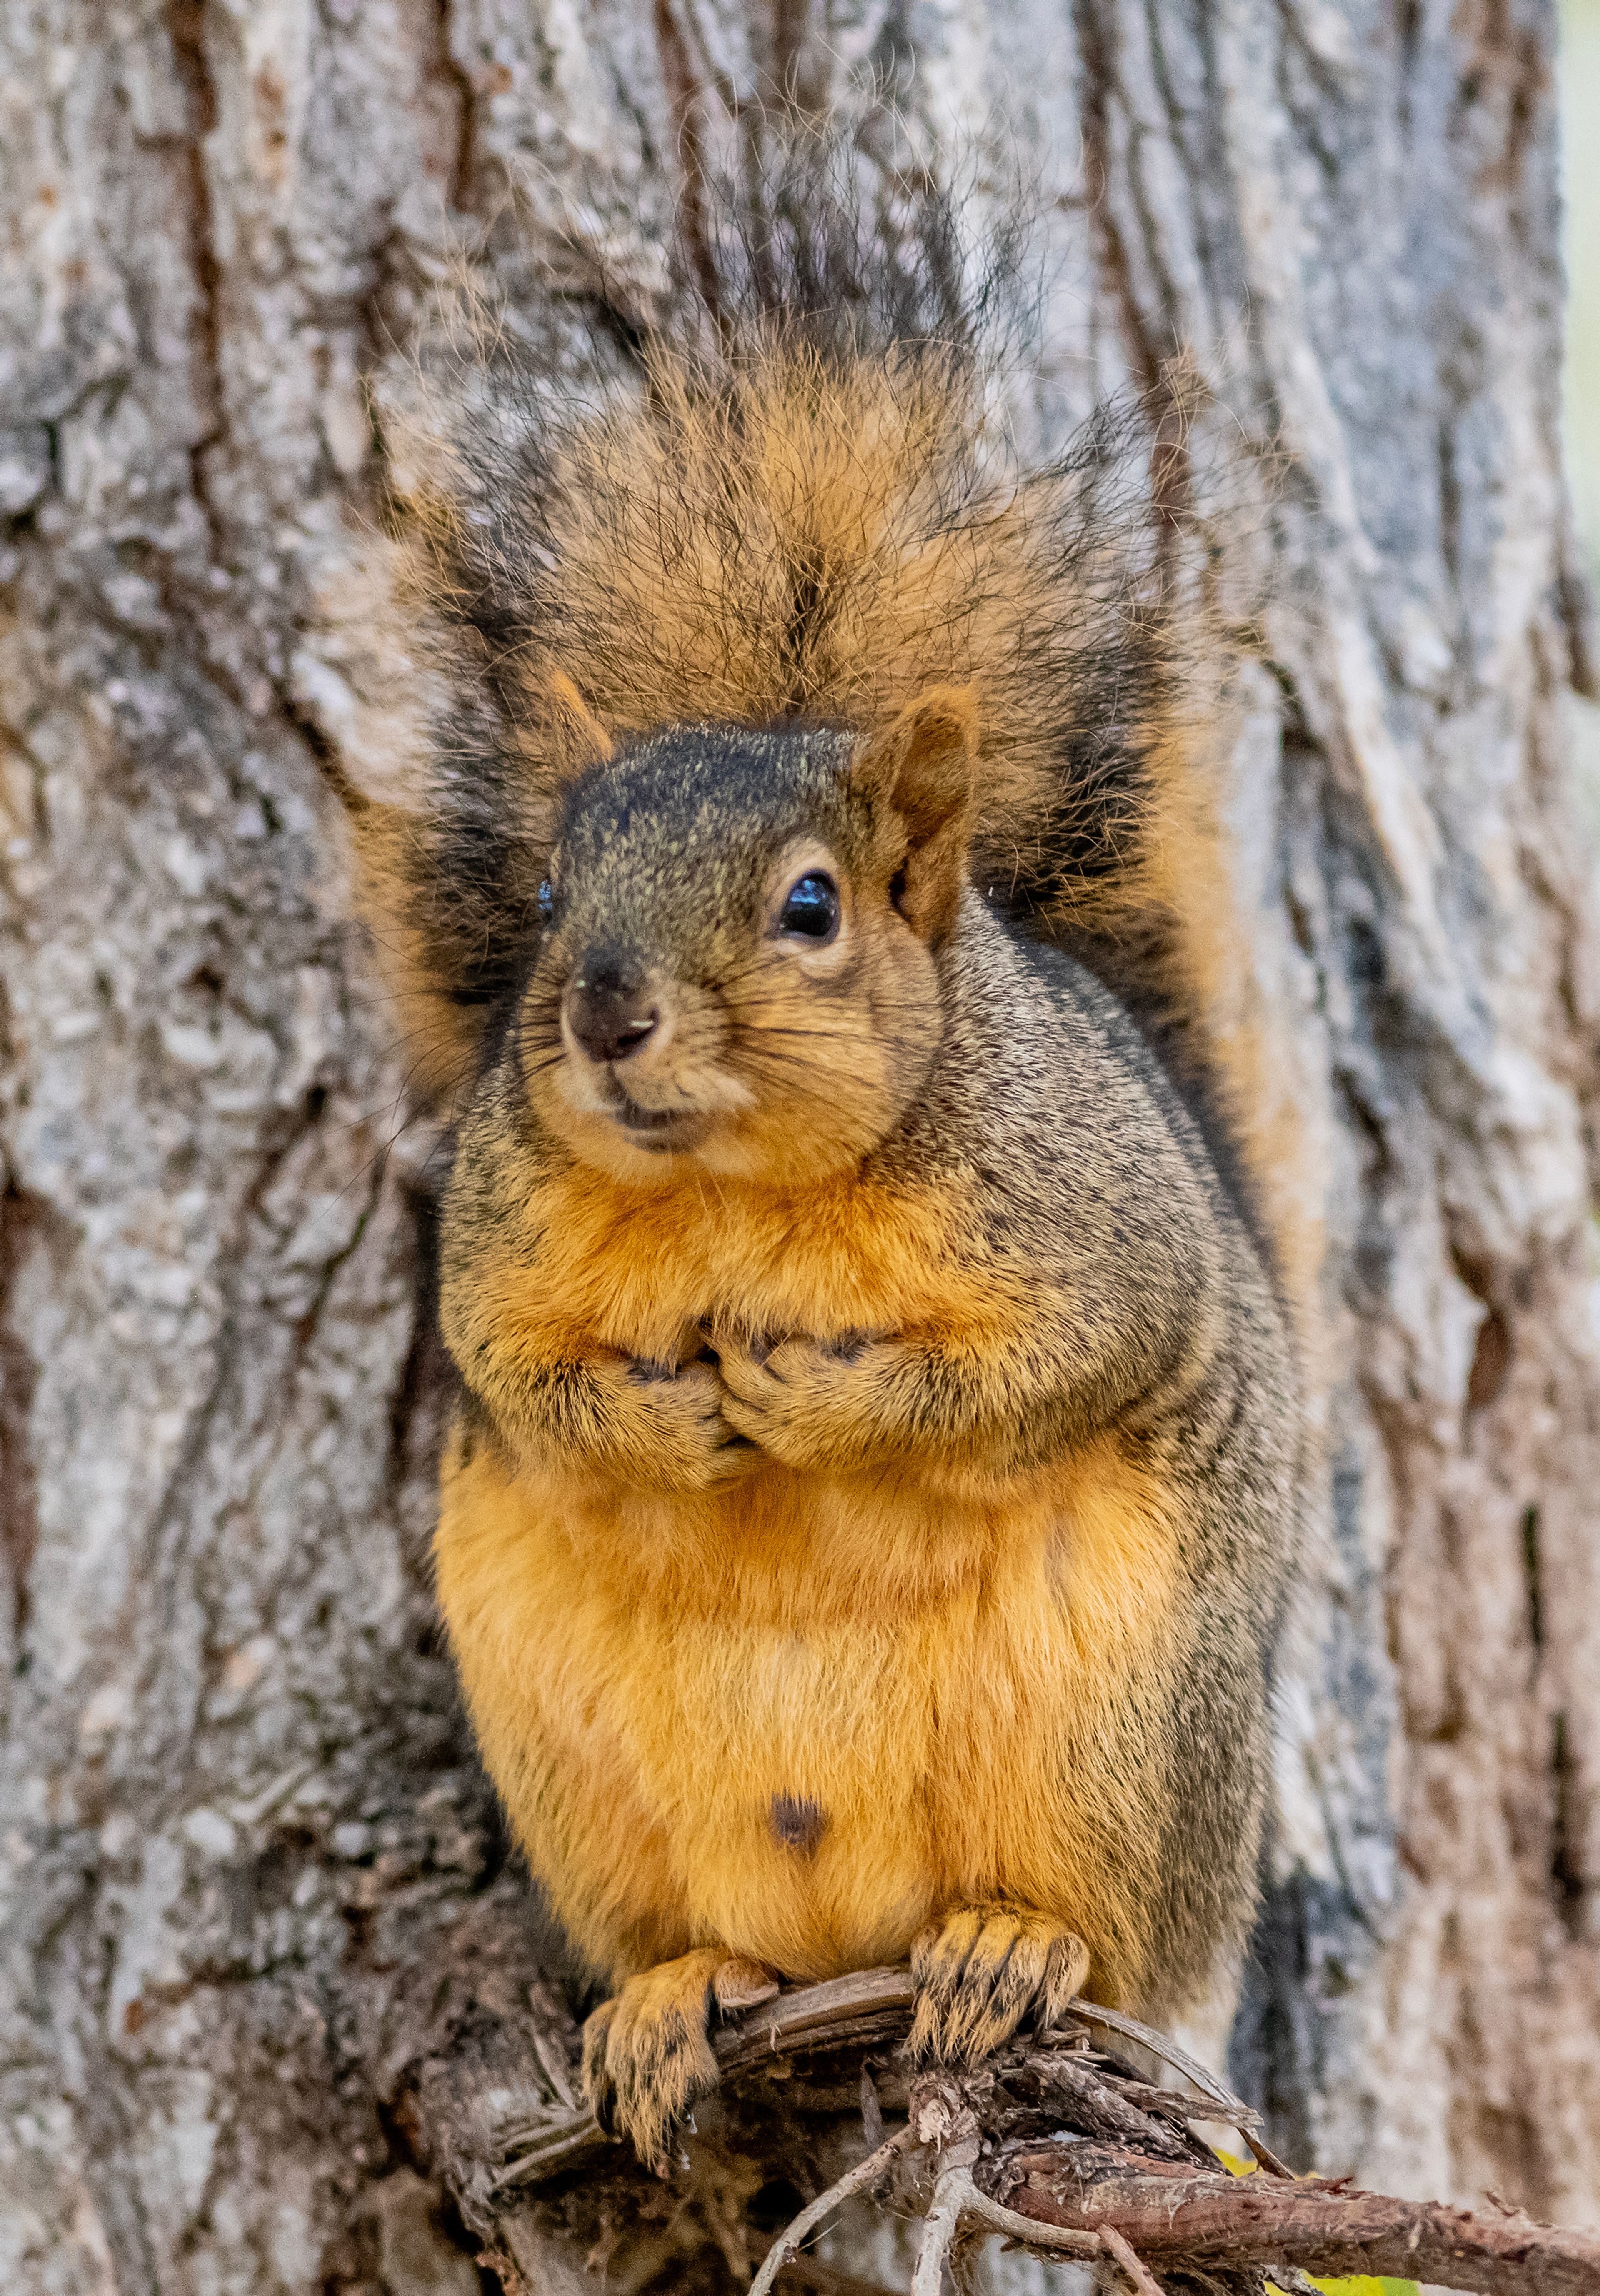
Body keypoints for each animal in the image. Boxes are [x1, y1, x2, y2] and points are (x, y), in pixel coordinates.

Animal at [344, 139, 1304, 2167]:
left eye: (809, 905)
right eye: (547, 896)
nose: (604, 1013)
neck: (733, 1185)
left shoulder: (1092, 1222)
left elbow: (1052, 1359)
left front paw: (806, 1398)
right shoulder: (492, 1245)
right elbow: (515, 1372)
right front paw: (666, 1420)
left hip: (1127, 1734)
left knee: (1102, 1936)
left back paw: (1010, 1945)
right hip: (572, 1769)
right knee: (698, 1939)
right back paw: (667, 2000)